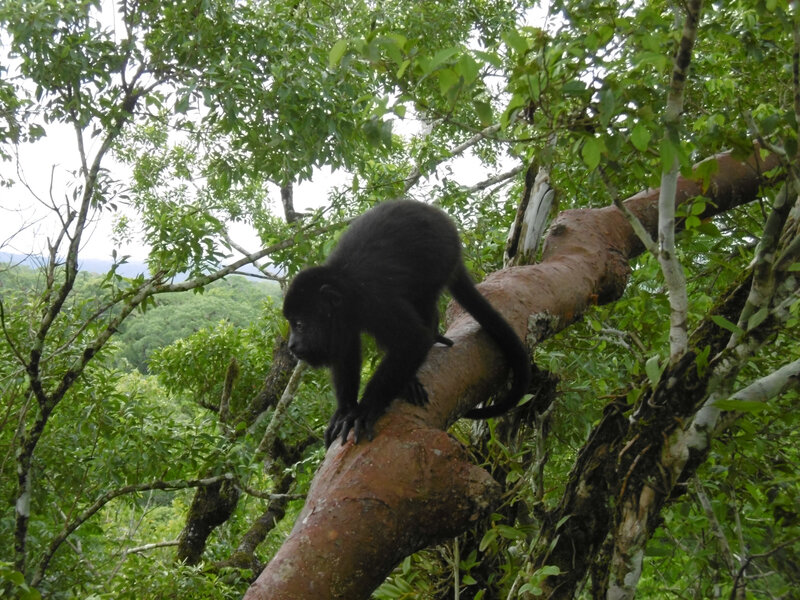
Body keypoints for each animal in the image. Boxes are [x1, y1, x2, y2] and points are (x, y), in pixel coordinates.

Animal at [282, 200, 532, 446]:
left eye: (300, 324)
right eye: (292, 324)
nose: (292, 345)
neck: (346, 290)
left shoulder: (375, 300)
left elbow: (413, 339)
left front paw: (365, 409)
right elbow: (345, 355)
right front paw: (344, 411)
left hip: (442, 257)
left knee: (424, 301)